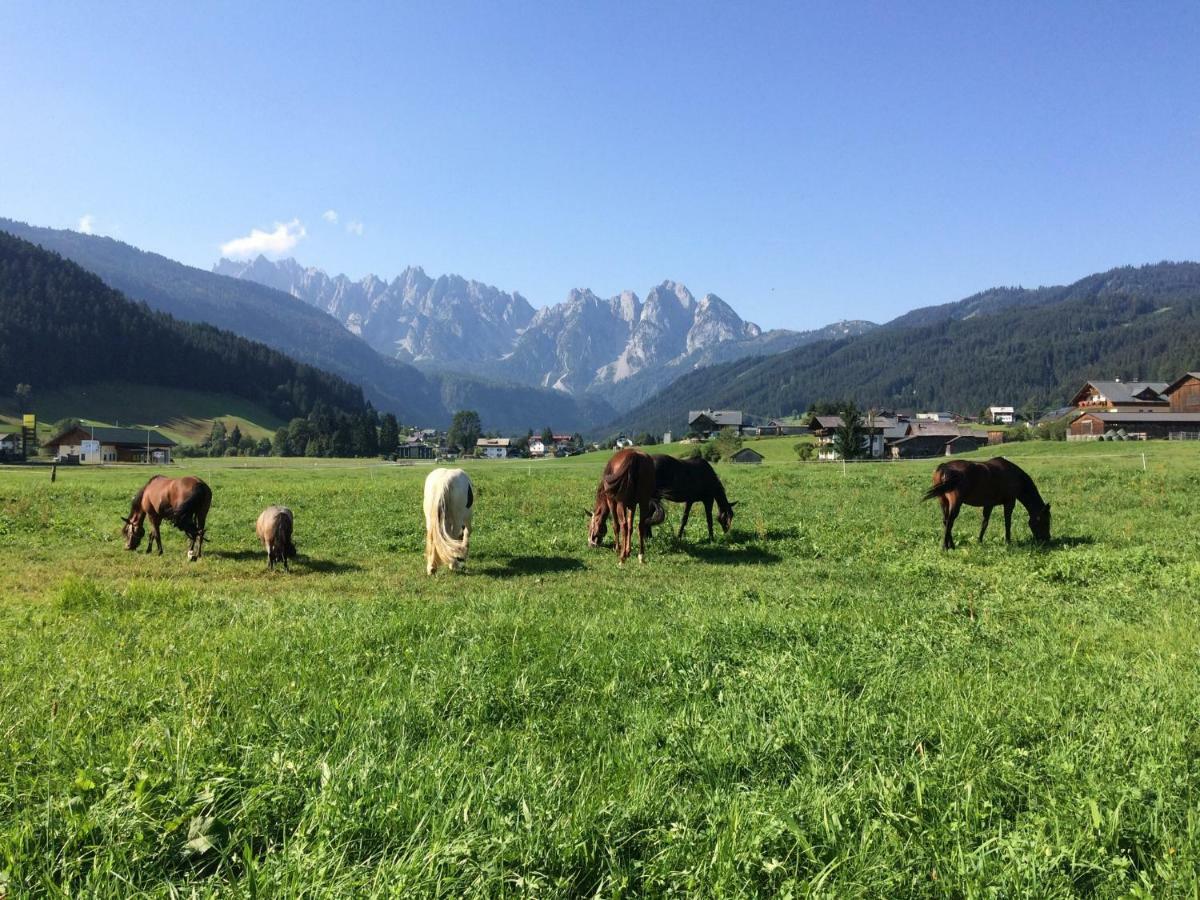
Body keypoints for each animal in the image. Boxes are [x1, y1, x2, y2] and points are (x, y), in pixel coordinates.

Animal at [916, 458, 1051, 549]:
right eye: (1046, 521)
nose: (1047, 539)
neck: (1015, 476)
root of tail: (944, 467)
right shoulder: (1009, 502)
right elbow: (1007, 523)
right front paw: (1008, 541)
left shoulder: (989, 504)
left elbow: (984, 523)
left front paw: (979, 541)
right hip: (955, 502)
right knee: (950, 521)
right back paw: (946, 546)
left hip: (943, 500)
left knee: (945, 521)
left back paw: (951, 545)